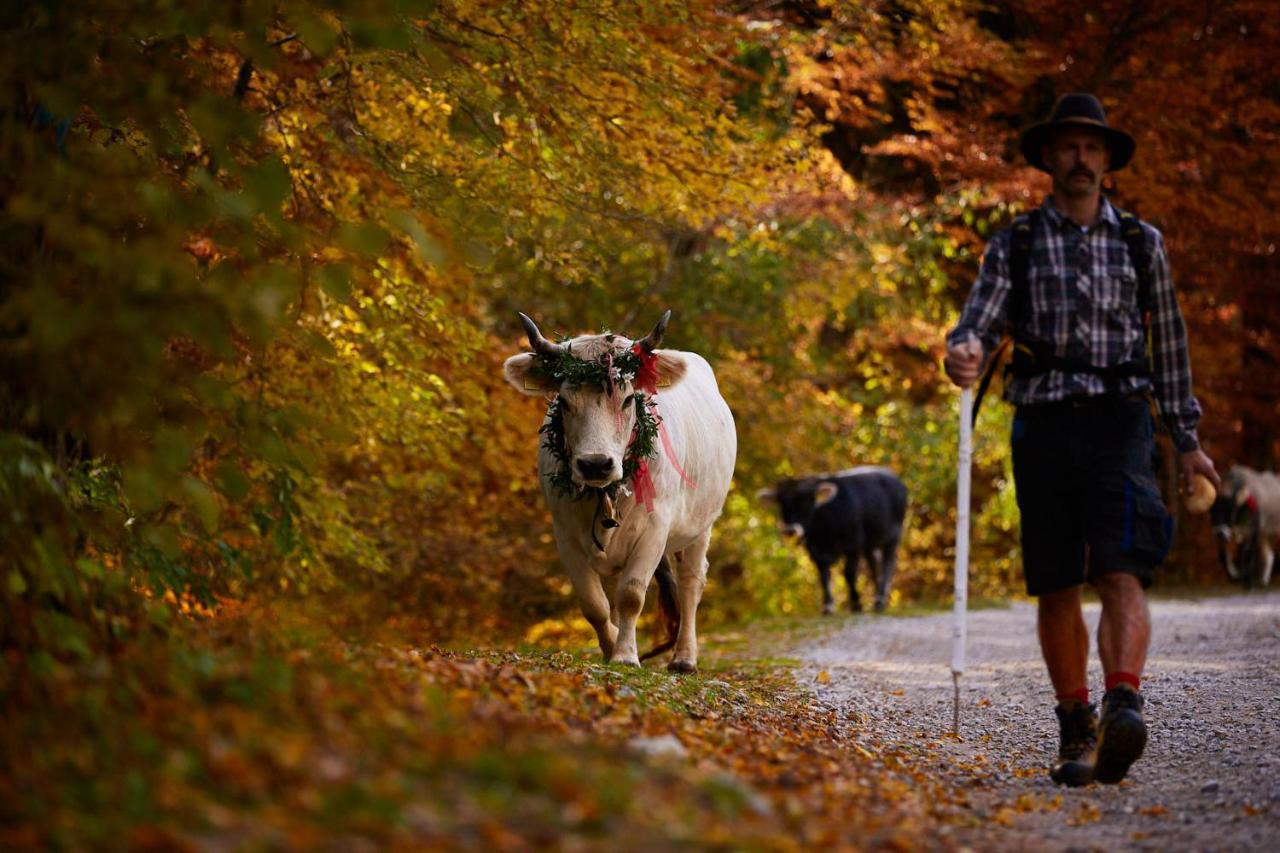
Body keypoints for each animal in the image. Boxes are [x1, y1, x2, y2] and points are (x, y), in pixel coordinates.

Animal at [501, 311, 737, 671]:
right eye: (564, 402)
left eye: (627, 399)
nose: (595, 464)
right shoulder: (565, 533)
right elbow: (593, 603)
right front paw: (612, 645)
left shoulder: (655, 529)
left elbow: (631, 595)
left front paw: (626, 655)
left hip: (701, 527)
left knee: (690, 582)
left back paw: (684, 657)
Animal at [757, 466, 911, 612]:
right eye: (782, 505)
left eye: (807, 503)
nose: (790, 530)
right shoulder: (815, 551)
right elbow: (823, 575)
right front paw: (828, 606)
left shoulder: (853, 544)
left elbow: (849, 573)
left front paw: (856, 604)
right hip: (870, 543)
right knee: (874, 564)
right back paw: (877, 598)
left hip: (894, 534)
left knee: (888, 562)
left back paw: (880, 599)